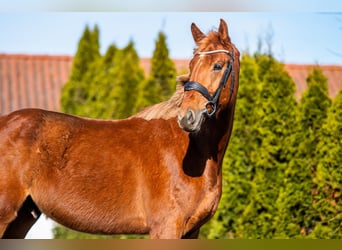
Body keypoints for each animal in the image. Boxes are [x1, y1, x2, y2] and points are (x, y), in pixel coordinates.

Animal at [0, 19, 240, 238]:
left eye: (218, 65)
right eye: (191, 66)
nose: (187, 117)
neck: (191, 151)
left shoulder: (191, 231)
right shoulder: (166, 227)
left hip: (22, 218)